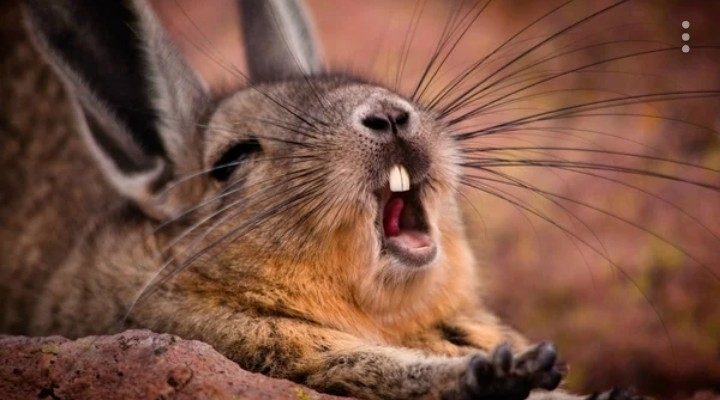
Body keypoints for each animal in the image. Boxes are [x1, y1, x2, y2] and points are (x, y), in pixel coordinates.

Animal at [0, 0, 662, 399]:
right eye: (232, 160)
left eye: (369, 83)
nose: (390, 116)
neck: (390, 316)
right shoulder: (273, 349)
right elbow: (380, 369)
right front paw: (510, 370)